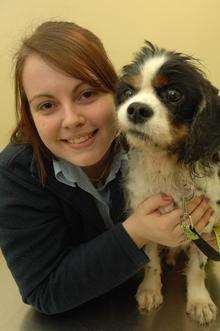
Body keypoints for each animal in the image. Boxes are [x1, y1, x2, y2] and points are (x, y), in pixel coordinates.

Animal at [116, 40, 220, 324]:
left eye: (174, 94)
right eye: (128, 92)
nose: (135, 109)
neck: (166, 163)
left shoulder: (204, 224)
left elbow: (198, 266)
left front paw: (199, 300)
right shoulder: (145, 218)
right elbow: (151, 261)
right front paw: (150, 291)